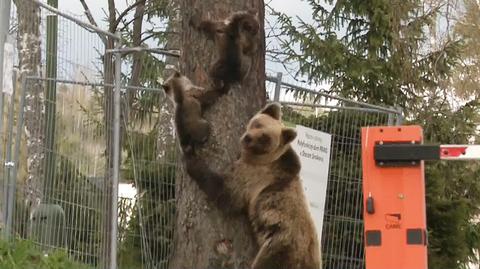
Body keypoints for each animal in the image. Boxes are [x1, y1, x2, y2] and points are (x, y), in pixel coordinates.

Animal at [184, 102, 322, 268]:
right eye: (257, 123)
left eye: (265, 137)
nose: (248, 138)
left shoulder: (254, 176)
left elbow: (227, 194)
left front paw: (191, 158)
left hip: (281, 248)